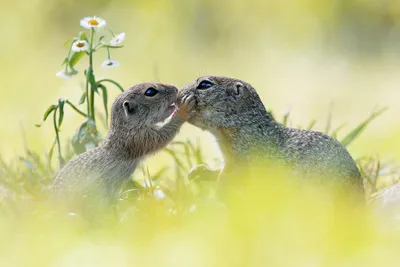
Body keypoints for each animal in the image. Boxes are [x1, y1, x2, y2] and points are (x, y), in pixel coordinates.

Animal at [52, 82, 196, 206]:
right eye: (150, 92)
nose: (176, 88)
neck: (125, 127)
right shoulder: (137, 138)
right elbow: (161, 137)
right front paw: (182, 110)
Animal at [180, 75, 364, 199]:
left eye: (205, 84)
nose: (179, 93)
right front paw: (199, 171)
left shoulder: (244, 154)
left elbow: (235, 174)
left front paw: (220, 186)